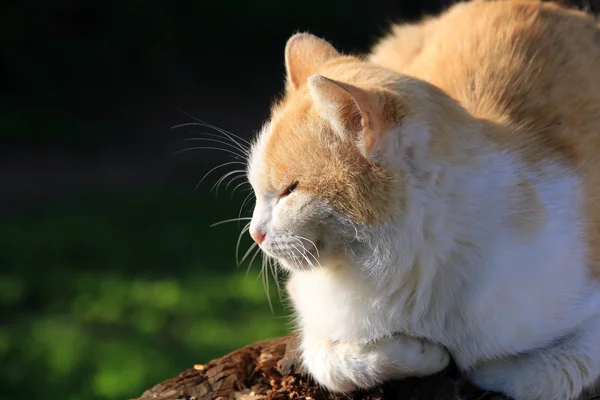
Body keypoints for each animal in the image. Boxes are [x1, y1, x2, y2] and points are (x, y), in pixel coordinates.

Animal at [244, 1, 600, 398]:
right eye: (259, 190)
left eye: (290, 190)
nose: (254, 234)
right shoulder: (313, 315)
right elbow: (335, 364)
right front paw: (425, 354)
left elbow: (541, 376)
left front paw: (475, 365)